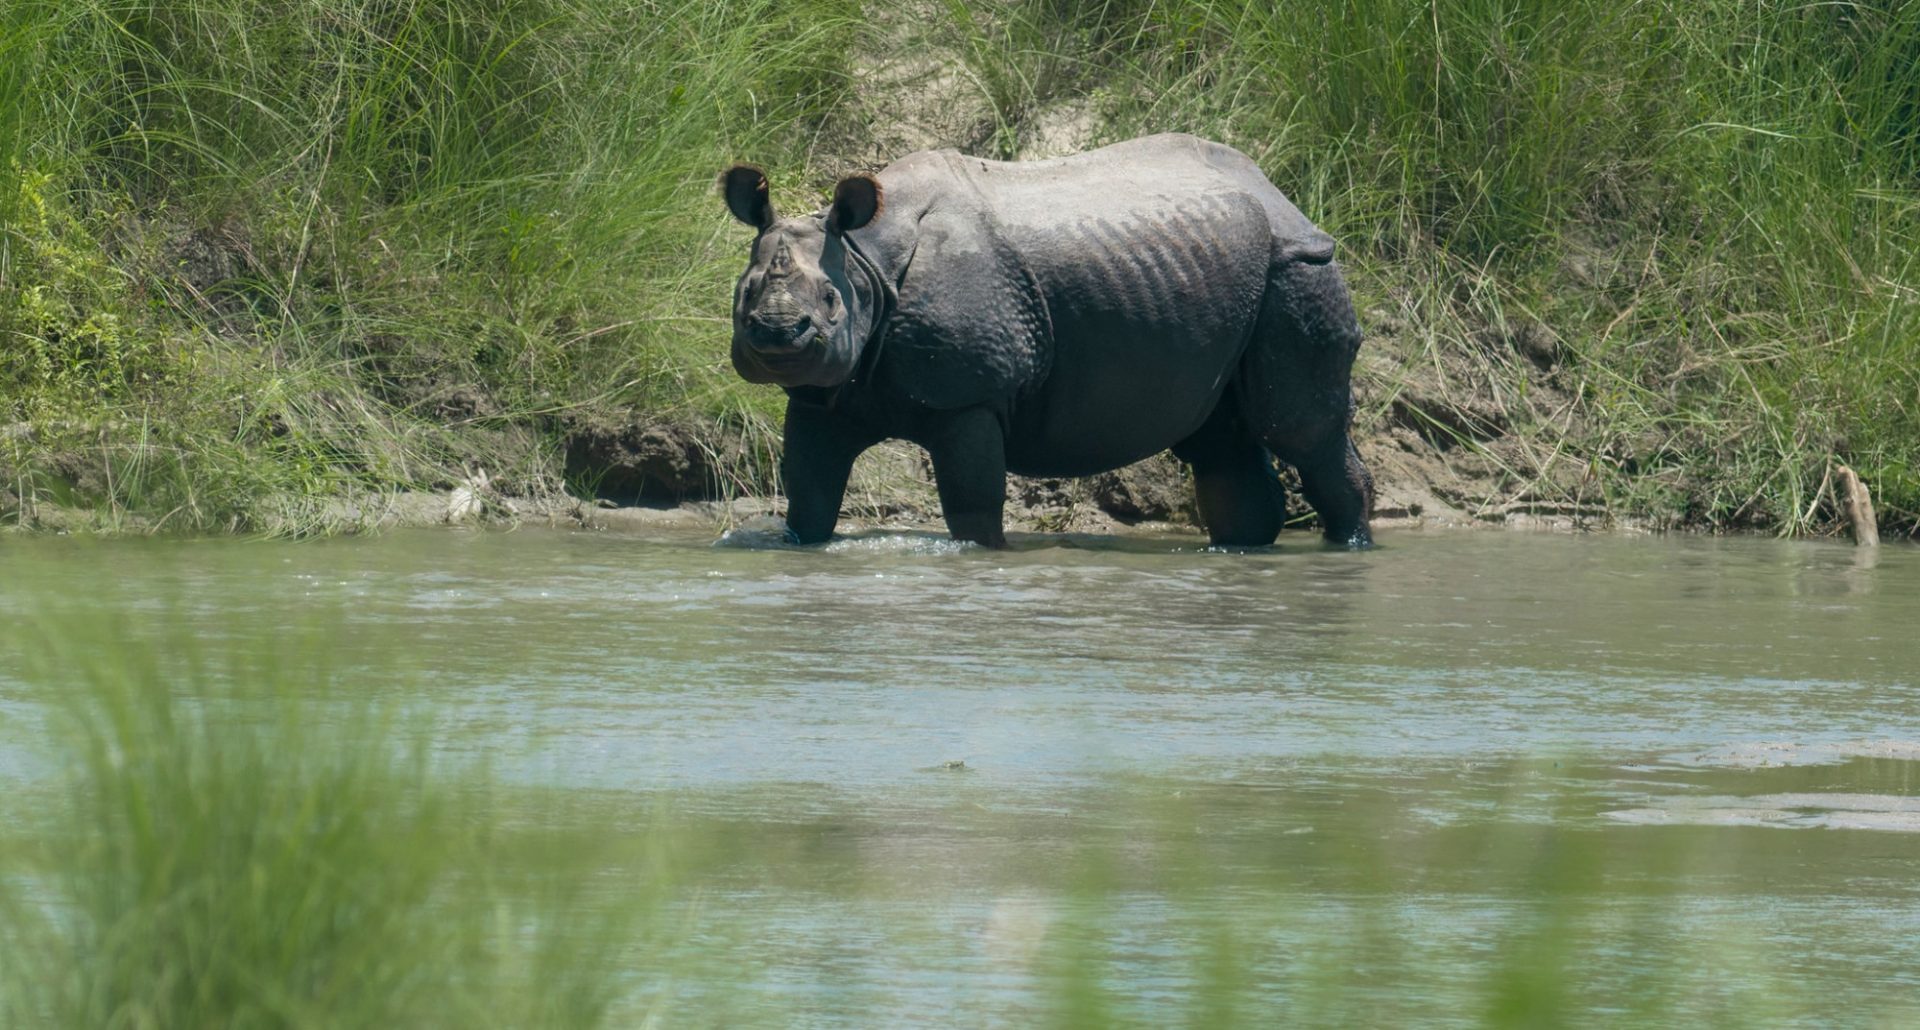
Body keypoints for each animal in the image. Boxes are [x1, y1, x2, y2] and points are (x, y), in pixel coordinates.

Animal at [720, 133, 1375, 548]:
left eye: (832, 303)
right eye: (744, 293)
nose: (776, 333)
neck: (864, 258)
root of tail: (1283, 197)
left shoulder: (970, 396)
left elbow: (972, 507)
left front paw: (984, 556)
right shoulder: (821, 396)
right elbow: (808, 497)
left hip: (1298, 266)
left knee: (1299, 430)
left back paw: (1350, 549)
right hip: (1221, 272)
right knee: (1221, 441)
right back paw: (1243, 553)